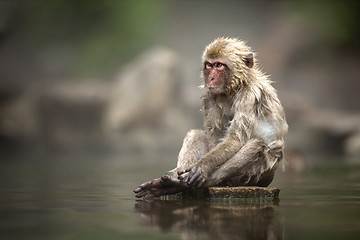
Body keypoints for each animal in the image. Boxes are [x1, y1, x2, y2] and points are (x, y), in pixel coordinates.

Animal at [134, 37, 288, 199]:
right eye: (209, 65)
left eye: (219, 65)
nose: (211, 78)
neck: (235, 87)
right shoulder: (209, 97)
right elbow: (216, 138)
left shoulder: (249, 96)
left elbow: (235, 139)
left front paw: (201, 167)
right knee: (195, 134)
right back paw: (175, 183)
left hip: (261, 174)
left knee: (256, 145)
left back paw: (204, 180)